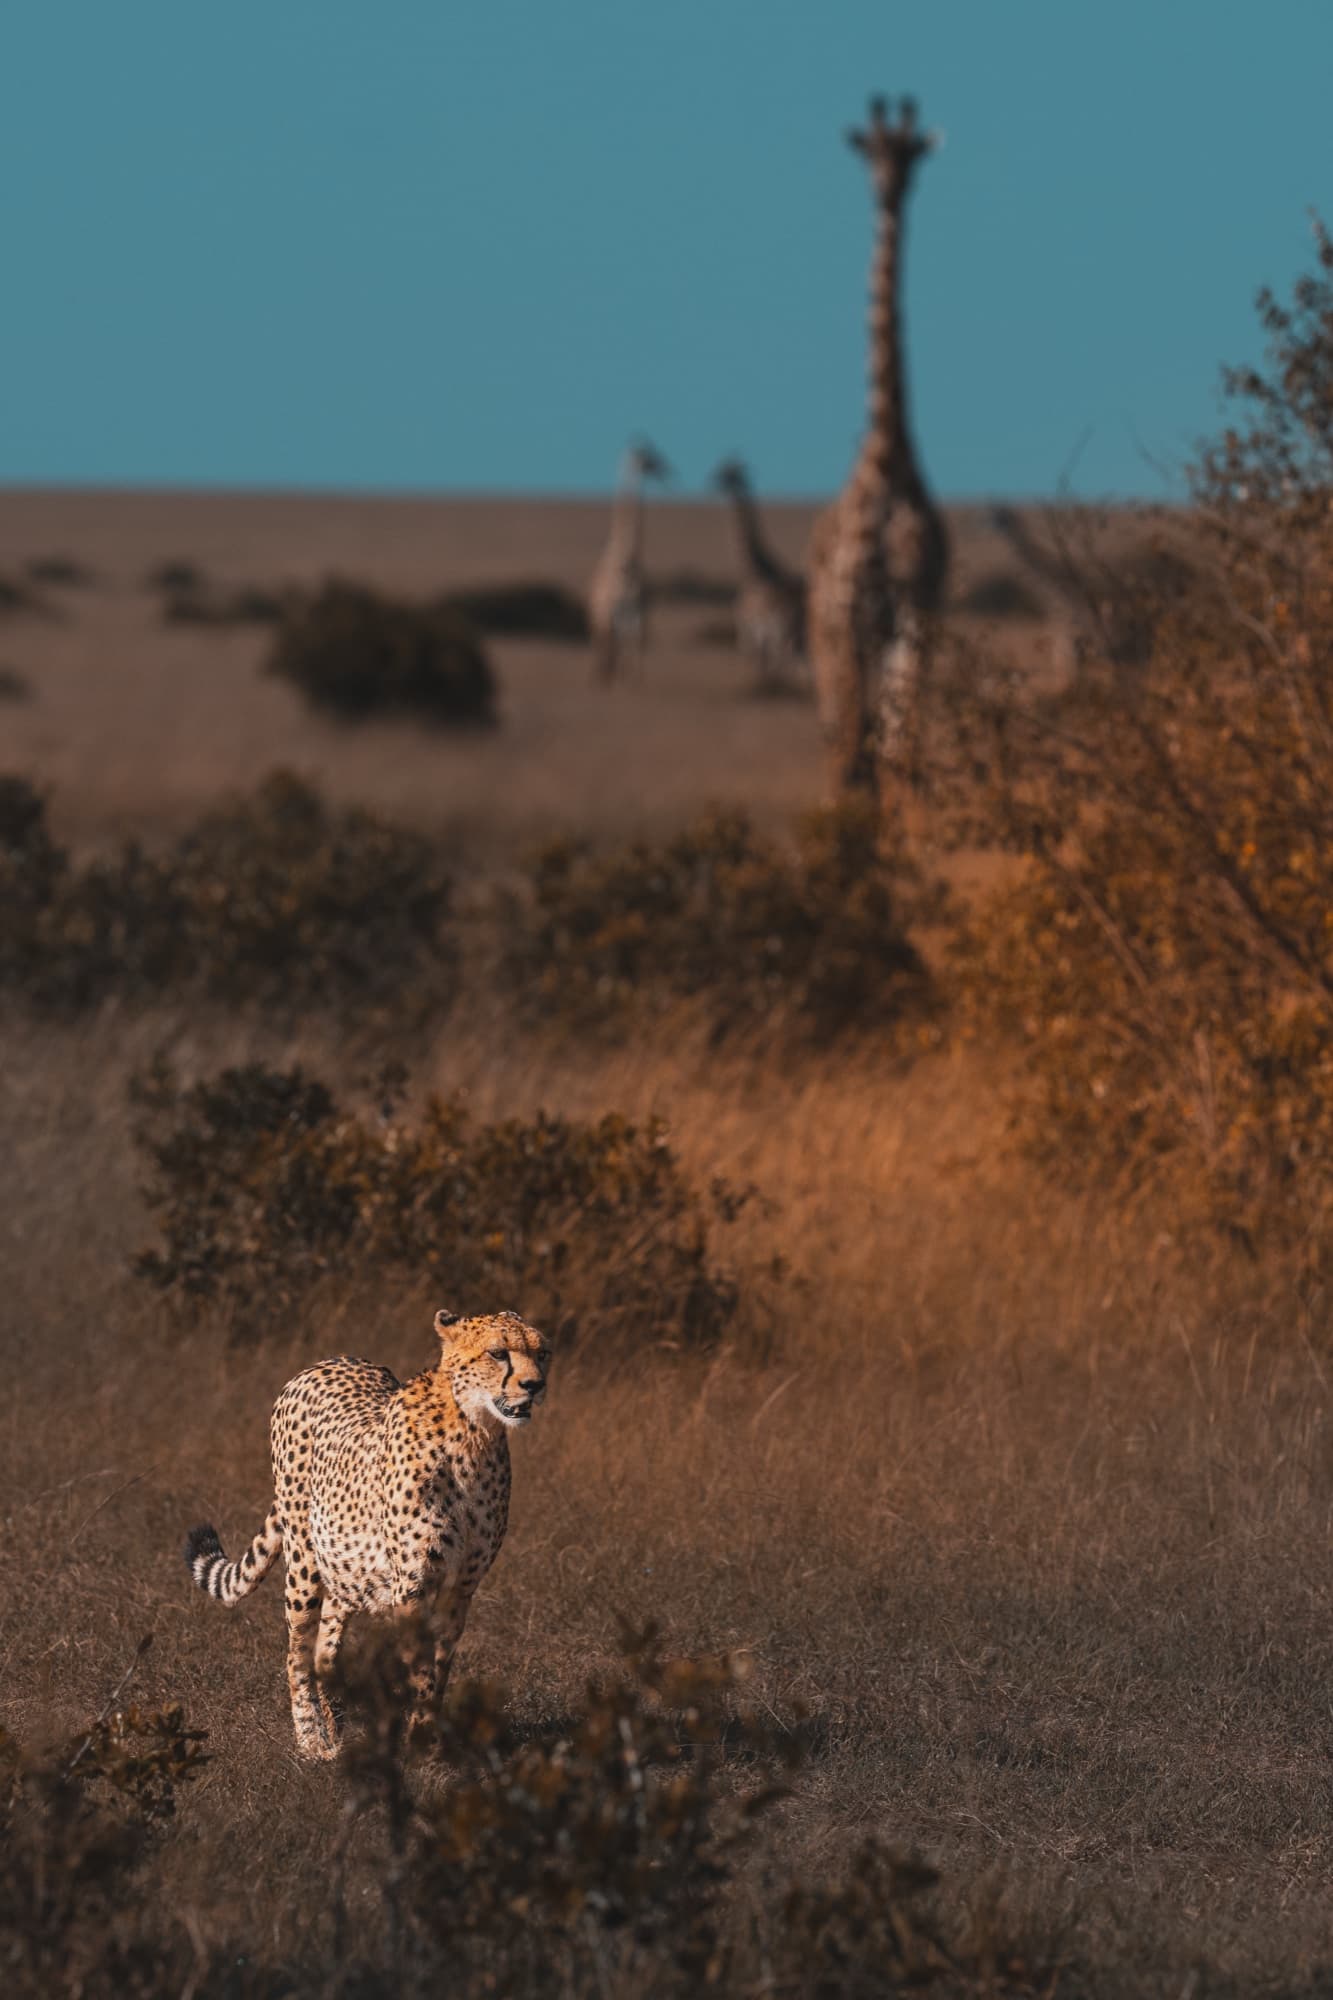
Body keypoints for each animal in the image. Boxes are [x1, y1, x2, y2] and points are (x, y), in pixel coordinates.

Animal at [184, 1307, 550, 1759]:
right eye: (498, 1353)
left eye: (542, 1353)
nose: (535, 1385)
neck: (474, 1436)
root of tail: (327, 1361)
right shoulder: (412, 1585)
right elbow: (421, 1668)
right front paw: (418, 1744)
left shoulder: (461, 1587)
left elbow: (441, 1665)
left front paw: (430, 1741)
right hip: (304, 1562)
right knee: (296, 1653)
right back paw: (312, 1741)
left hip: (347, 1567)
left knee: (326, 1644)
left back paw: (337, 1725)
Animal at [587, 440, 670, 683]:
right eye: (649, 460)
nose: (667, 471)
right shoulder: (610, 614)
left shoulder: (637, 615)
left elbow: (633, 657)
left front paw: (632, 681)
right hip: (599, 617)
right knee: (602, 651)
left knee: (618, 655)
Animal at [712, 457, 807, 694]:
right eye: (722, 470)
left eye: (730, 474)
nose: (712, 480)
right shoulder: (760, 637)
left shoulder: (751, 633)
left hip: (788, 637)